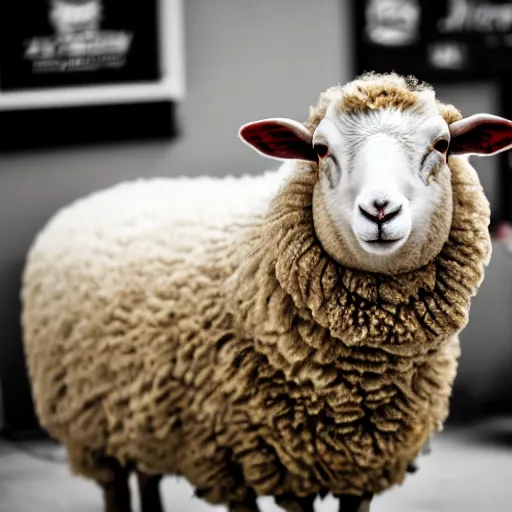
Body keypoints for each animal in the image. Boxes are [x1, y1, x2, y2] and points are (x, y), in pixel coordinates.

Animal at [21, 73, 512, 512]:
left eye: (442, 145)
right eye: (320, 149)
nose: (379, 209)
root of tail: (98, 197)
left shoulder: (361, 467)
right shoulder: (251, 459)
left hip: (144, 413)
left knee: (147, 475)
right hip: (92, 424)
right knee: (116, 489)